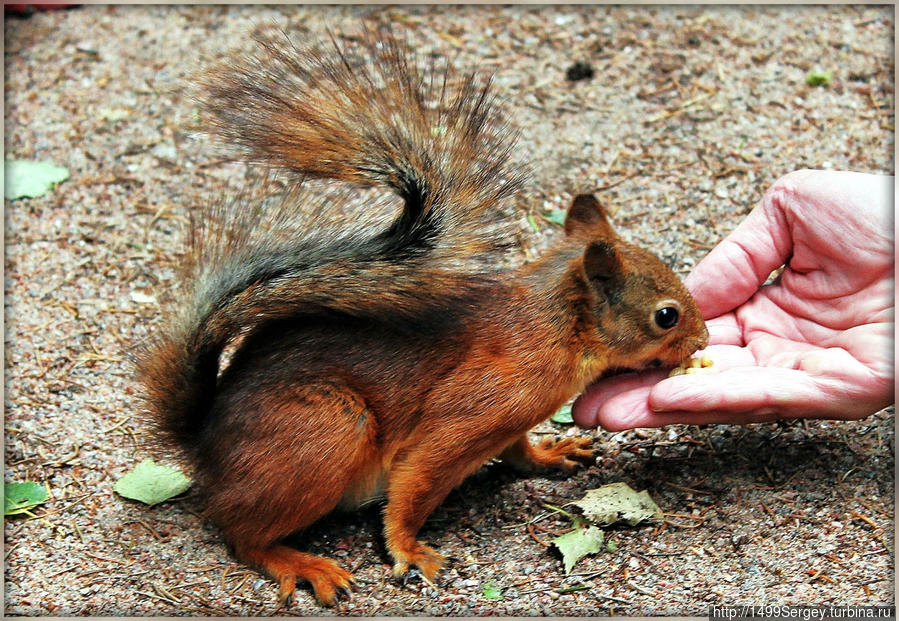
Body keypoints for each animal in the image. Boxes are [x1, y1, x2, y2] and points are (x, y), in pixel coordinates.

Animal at [135, 30, 712, 604]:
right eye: (666, 316)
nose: (703, 340)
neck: (556, 330)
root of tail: (205, 444)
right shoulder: (476, 408)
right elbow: (416, 482)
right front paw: (408, 549)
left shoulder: (510, 421)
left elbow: (517, 450)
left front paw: (551, 453)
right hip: (326, 430)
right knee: (240, 533)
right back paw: (299, 562)